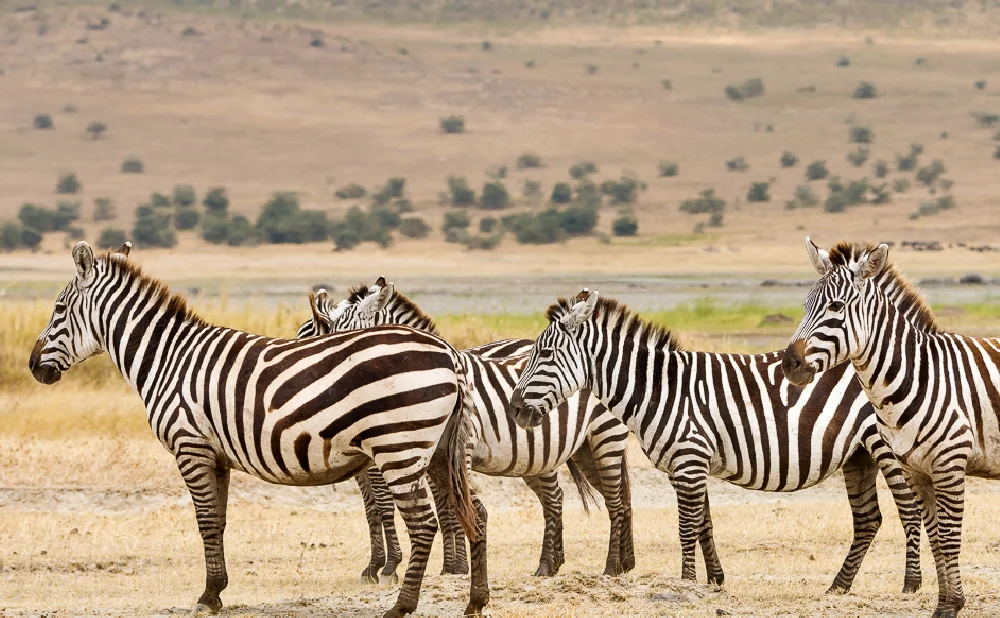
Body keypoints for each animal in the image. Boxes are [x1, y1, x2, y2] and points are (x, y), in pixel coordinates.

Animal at [33, 241, 494, 616]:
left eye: (58, 310)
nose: (34, 366)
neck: (169, 359)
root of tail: (449, 352)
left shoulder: (190, 446)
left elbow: (204, 521)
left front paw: (207, 596)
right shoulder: (216, 454)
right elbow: (218, 522)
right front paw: (216, 591)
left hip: (400, 446)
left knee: (423, 521)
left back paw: (401, 606)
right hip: (438, 450)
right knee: (476, 511)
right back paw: (476, 600)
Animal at [296, 280, 636, 576]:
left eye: (332, 334)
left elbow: (411, 505)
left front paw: (416, 566)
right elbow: (423, 506)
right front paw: (447, 565)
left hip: (601, 439)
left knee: (598, 498)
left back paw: (584, 565)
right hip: (575, 451)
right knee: (607, 496)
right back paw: (615, 561)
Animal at [512, 288, 924, 592]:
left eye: (544, 353)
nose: (515, 409)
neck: (661, 389)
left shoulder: (689, 460)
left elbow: (686, 527)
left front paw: (686, 583)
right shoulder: (688, 465)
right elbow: (704, 523)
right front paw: (714, 581)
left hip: (886, 450)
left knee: (909, 509)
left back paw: (911, 584)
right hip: (858, 455)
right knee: (869, 520)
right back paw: (839, 585)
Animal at [780, 237, 1000, 616]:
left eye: (836, 306)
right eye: (806, 304)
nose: (789, 364)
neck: (919, 374)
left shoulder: (950, 463)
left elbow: (950, 537)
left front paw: (953, 605)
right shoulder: (916, 469)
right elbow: (936, 536)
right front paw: (945, 603)